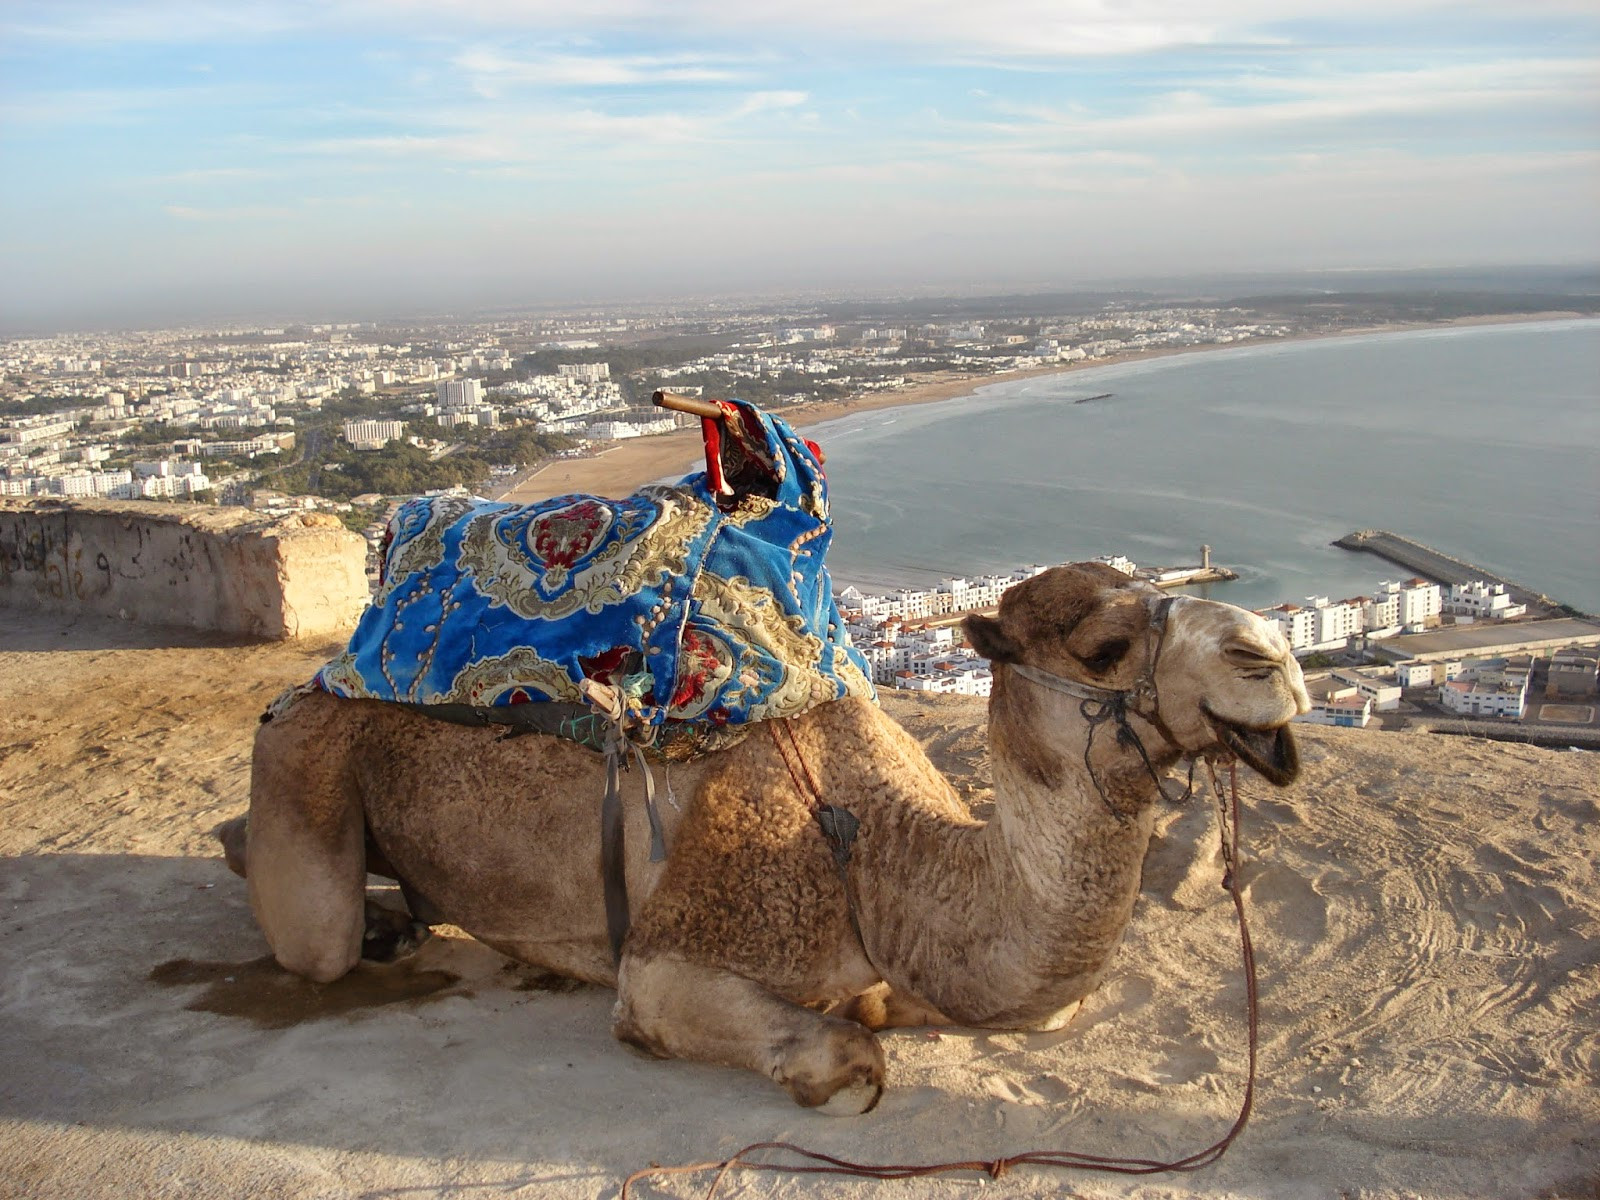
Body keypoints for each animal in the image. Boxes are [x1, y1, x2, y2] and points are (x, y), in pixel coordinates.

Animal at [219, 563, 1305, 1120]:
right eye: (1106, 647)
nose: (1275, 663)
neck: (876, 849)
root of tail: (308, 681)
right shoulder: (677, 946)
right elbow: (836, 1053)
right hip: (307, 755)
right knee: (314, 934)